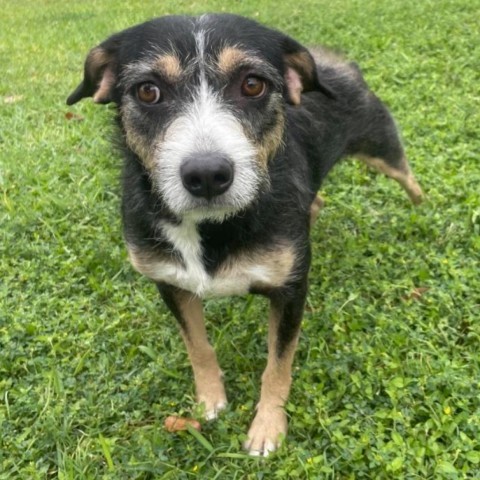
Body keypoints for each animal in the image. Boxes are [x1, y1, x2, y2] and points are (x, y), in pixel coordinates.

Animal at [68, 14, 424, 458]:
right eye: (147, 91)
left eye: (253, 84)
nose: (206, 175)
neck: (213, 226)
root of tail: (332, 61)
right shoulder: (169, 282)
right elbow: (198, 347)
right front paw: (208, 402)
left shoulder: (291, 291)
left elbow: (278, 365)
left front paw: (268, 428)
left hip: (381, 145)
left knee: (409, 178)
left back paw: (425, 211)